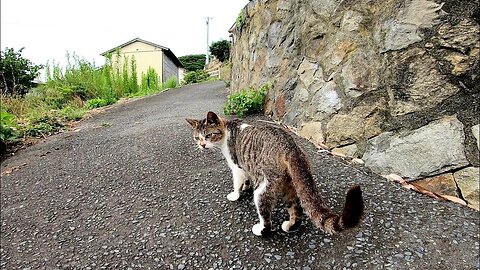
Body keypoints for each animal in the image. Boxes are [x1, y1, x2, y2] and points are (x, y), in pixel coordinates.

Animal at [188, 110, 364, 235]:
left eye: (208, 135)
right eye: (197, 138)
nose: (202, 145)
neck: (227, 130)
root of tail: (290, 147)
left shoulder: (237, 167)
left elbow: (237, 183)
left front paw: (235, 194)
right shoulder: (247, 167)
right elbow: (247, 179)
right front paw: (246, 186)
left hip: (264, 187)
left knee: (267, 218)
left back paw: (261, 230)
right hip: (290, 184)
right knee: (296, 208)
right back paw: (290, 226)